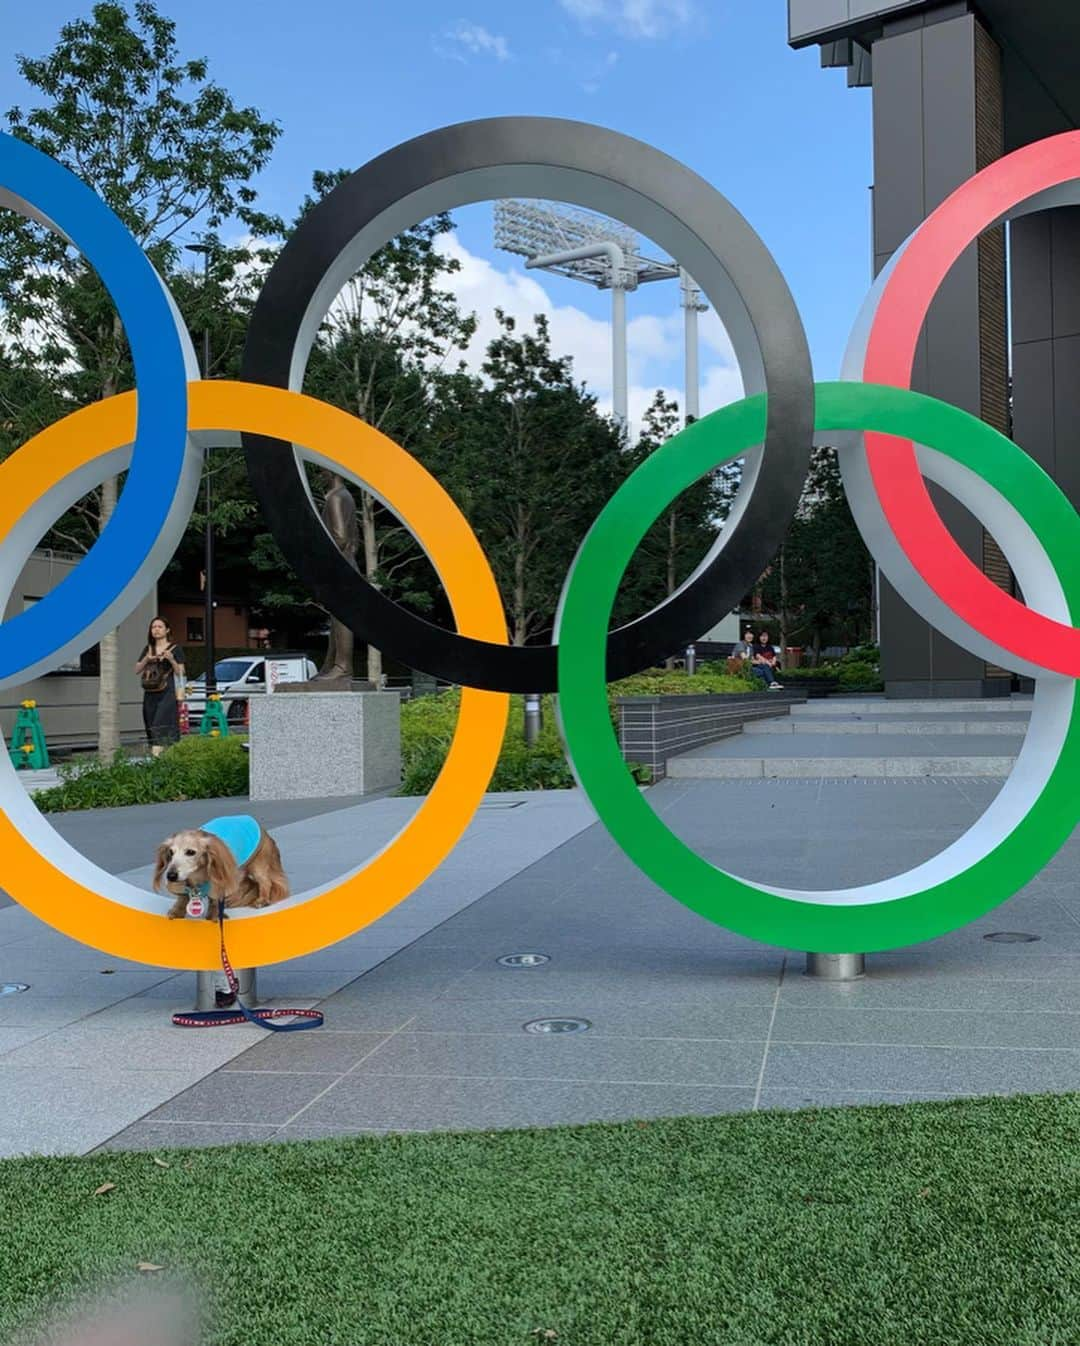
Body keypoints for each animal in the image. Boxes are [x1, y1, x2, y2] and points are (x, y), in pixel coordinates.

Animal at [151, 812, 288, 920]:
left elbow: (215, 899)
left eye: (190, 852)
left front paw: (215, 915)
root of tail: (263, 830)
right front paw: (177, 911)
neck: (197, 876)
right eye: (171, 852)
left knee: (265, 882)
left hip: (257, 865)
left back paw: (262, 900)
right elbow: (182, 897)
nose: (171, 876)